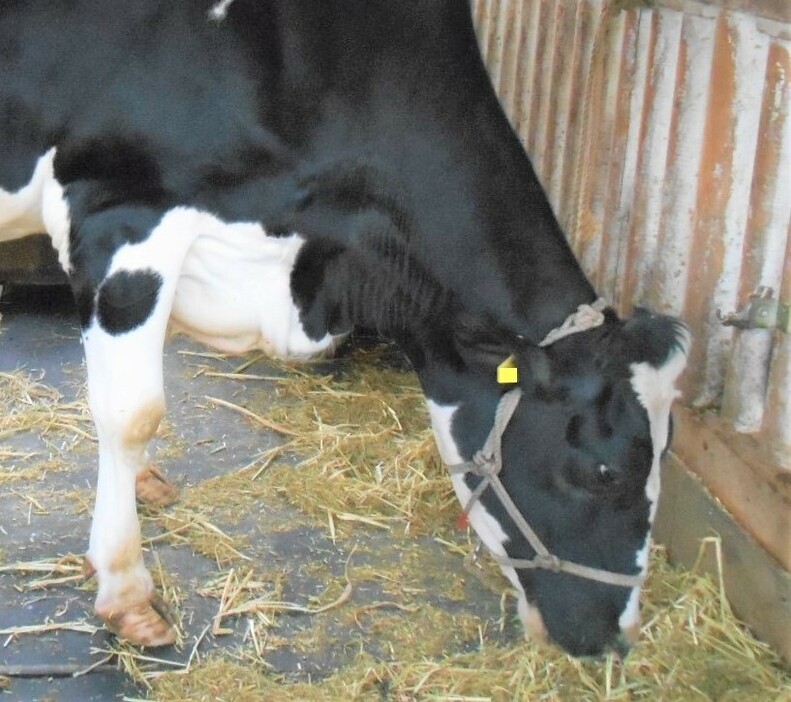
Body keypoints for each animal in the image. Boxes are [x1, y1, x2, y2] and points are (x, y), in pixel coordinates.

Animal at [0, 0, 688, 660]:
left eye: (664, 452)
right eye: (602, 471)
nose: (617, 638)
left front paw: (143, 483)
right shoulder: (119, 217)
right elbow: (134, 412)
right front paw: (126, 592)